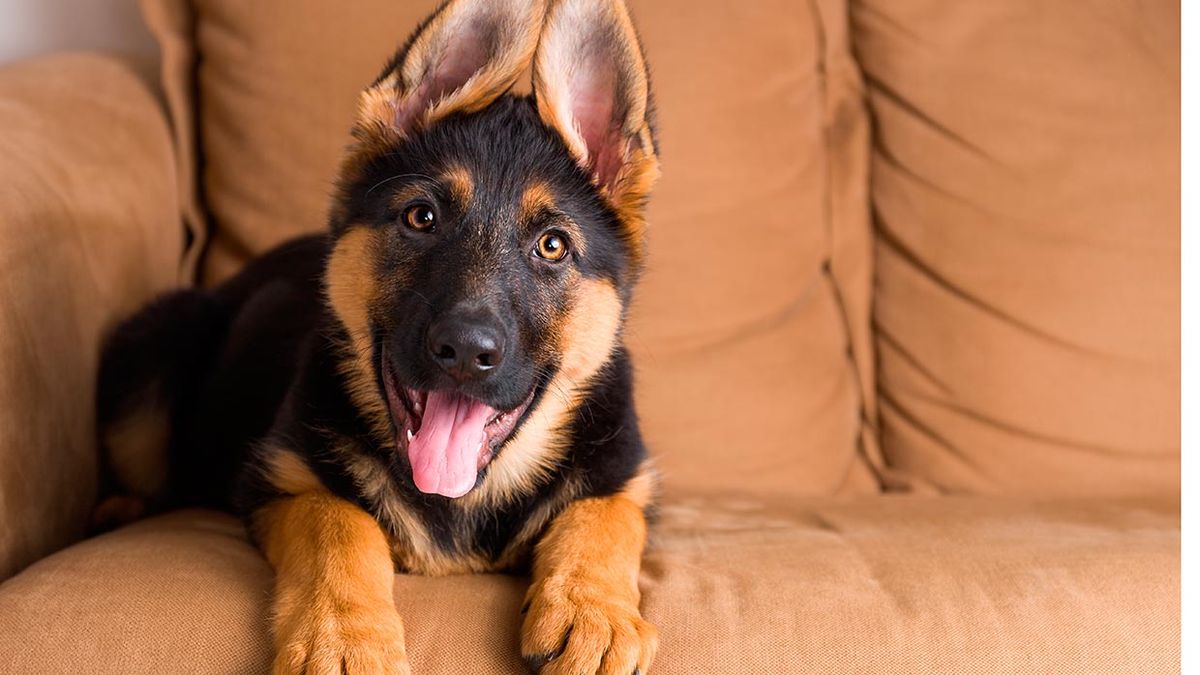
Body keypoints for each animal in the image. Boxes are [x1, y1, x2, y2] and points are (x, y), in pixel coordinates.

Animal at [100, 0, 667, 667]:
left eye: (552, 246)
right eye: (422, 217)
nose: (464, 352)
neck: (461, 500)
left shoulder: (624, 479)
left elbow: (601, 518)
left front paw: (591, 611)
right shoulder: (284, 481)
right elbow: (341, 525)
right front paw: (344, 637)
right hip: (156, 349)